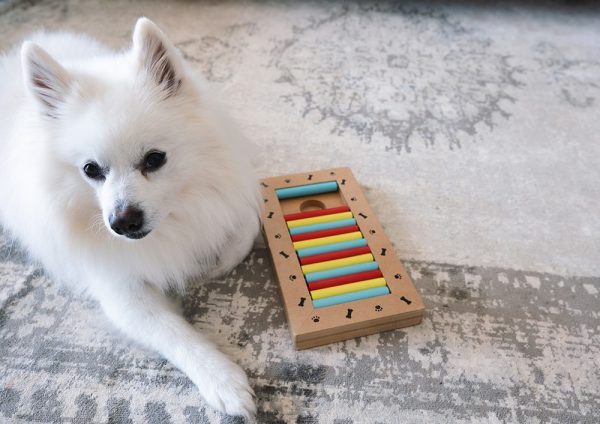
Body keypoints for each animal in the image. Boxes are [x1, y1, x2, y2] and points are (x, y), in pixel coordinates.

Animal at [1, 18, 262, 420]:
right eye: (91, 170)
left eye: (154, 159)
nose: (122, 222)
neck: (174, 221)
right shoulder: (119, 290)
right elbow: (172, 333)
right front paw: (222, 380)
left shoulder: (231, 199)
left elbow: (246, 230)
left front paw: (211, 265)